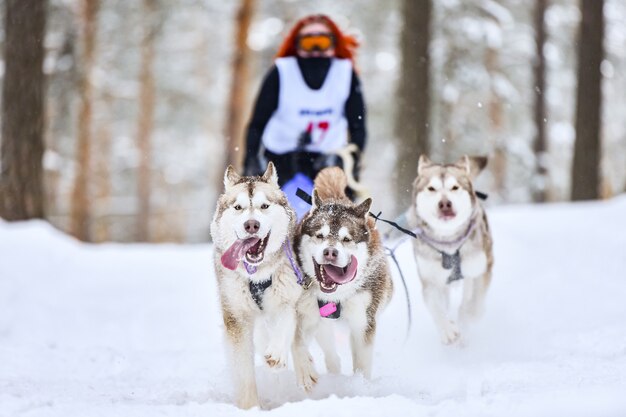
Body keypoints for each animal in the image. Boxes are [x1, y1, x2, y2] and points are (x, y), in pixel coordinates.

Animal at [210, 161, 302, 408]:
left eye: (264, 206)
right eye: (238, 207)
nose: (252, 225)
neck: (256, 275)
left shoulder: (290, 297)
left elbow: (285, 321)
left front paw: (277, 354)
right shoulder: (236, 317)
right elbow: (243, 373)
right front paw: (250, 407)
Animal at [292, 166, 390, 390]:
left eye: (346, 239)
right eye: (320, 235)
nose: (330, 252)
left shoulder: (364, 321)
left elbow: (362, 363)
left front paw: (360, 386)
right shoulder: (307, 313)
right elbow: (297, 341)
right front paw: (304, 369)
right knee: (330, 354)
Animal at [408, 156, 490, 344]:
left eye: (455, 187)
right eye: (432, 188)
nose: (445, 203)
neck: (449, 244)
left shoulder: (474, 271)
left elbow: (469, 303)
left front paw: (466, 322)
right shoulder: (430, 280)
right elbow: (436, 308)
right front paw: (447, 329)